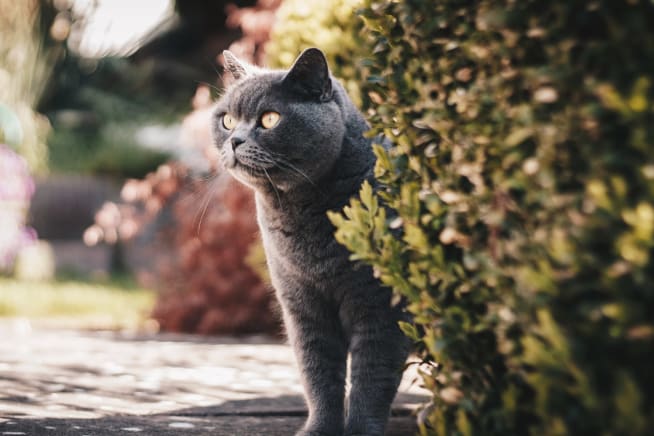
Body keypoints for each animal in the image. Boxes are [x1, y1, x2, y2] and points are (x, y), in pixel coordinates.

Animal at [214, 48, 410, 436]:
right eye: (227, 120)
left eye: (270, 119)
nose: (234, 140)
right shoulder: (302, 304)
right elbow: (318, 373)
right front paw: (319, 428)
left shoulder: (383, 307)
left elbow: (372, 377)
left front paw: (360, 430)